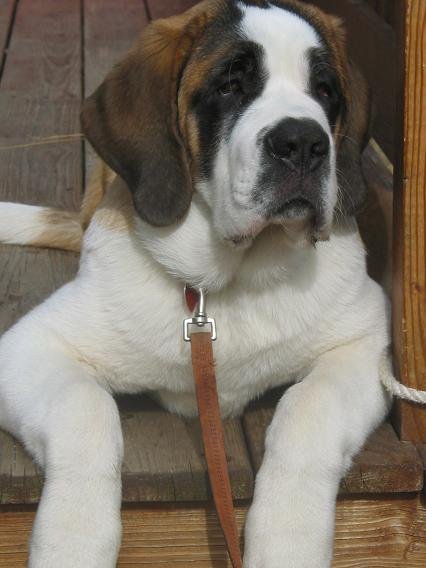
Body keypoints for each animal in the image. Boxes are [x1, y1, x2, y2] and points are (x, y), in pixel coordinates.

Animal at [0, 1, 392, 566]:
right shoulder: (28, 346)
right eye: (229, 86)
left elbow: (308, 408)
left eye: (324, 90)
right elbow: (86, 409)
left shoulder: (365, 342)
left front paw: (287, 541)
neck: (227, 281)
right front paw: (71, 541)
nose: (303, 142)